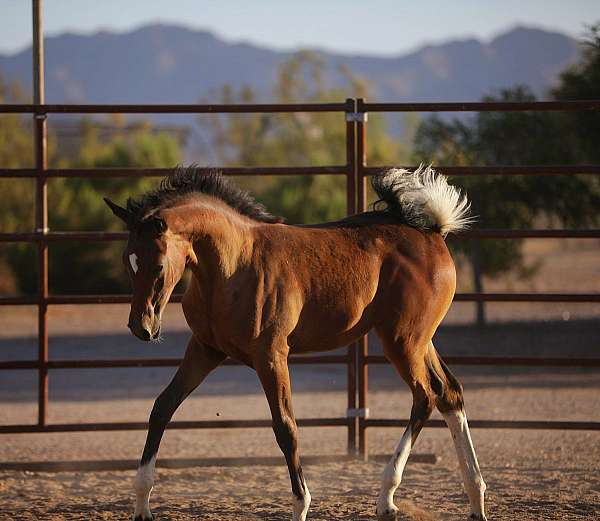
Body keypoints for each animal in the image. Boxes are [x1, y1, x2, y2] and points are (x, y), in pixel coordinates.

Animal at [104, 166, 488, 520]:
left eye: (157, 266)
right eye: (128, 261)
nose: (142, 327)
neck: (232, 266)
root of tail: (433, 232)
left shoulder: (271, 355)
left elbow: (285, 427)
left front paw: (301, 505)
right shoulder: (204, 349)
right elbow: (162, 407)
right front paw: (141, 505)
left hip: (402, 340)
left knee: (426, 396)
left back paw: (387, 496)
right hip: (420, 340)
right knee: (449, 392)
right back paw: (474, 498)